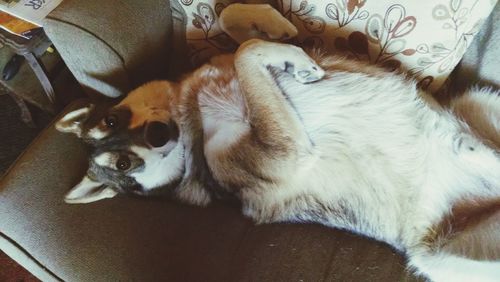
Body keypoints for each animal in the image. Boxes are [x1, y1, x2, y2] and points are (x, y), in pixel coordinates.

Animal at [55, 3, 500, 282]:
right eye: (123, 165)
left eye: (113, 119)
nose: (158, 135)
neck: (191, 110)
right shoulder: (283, 156)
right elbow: (246, 52)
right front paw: (284, 50)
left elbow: (234, 26)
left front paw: (278, 30)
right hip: (433, 258)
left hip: (478, 100)